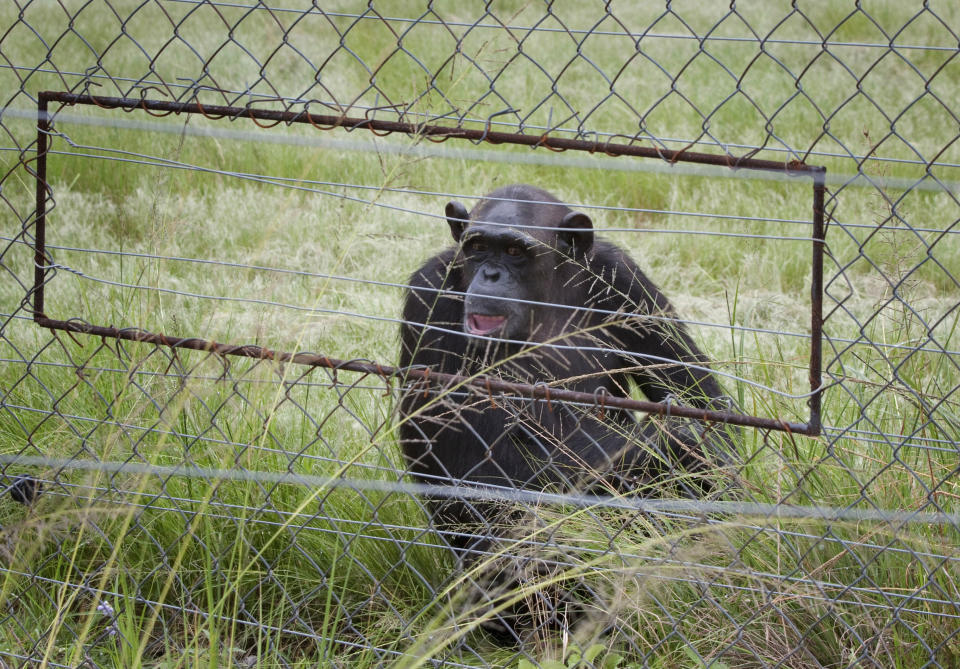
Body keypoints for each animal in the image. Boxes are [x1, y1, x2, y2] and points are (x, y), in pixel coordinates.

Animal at [398, 184, 736, 636]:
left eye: (514, 250)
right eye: (478, 247)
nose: (490, 275)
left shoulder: (626, 280)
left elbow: (700, 398)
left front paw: (681, 442)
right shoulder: (429, 297)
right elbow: (470, 464)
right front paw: (660, 443)